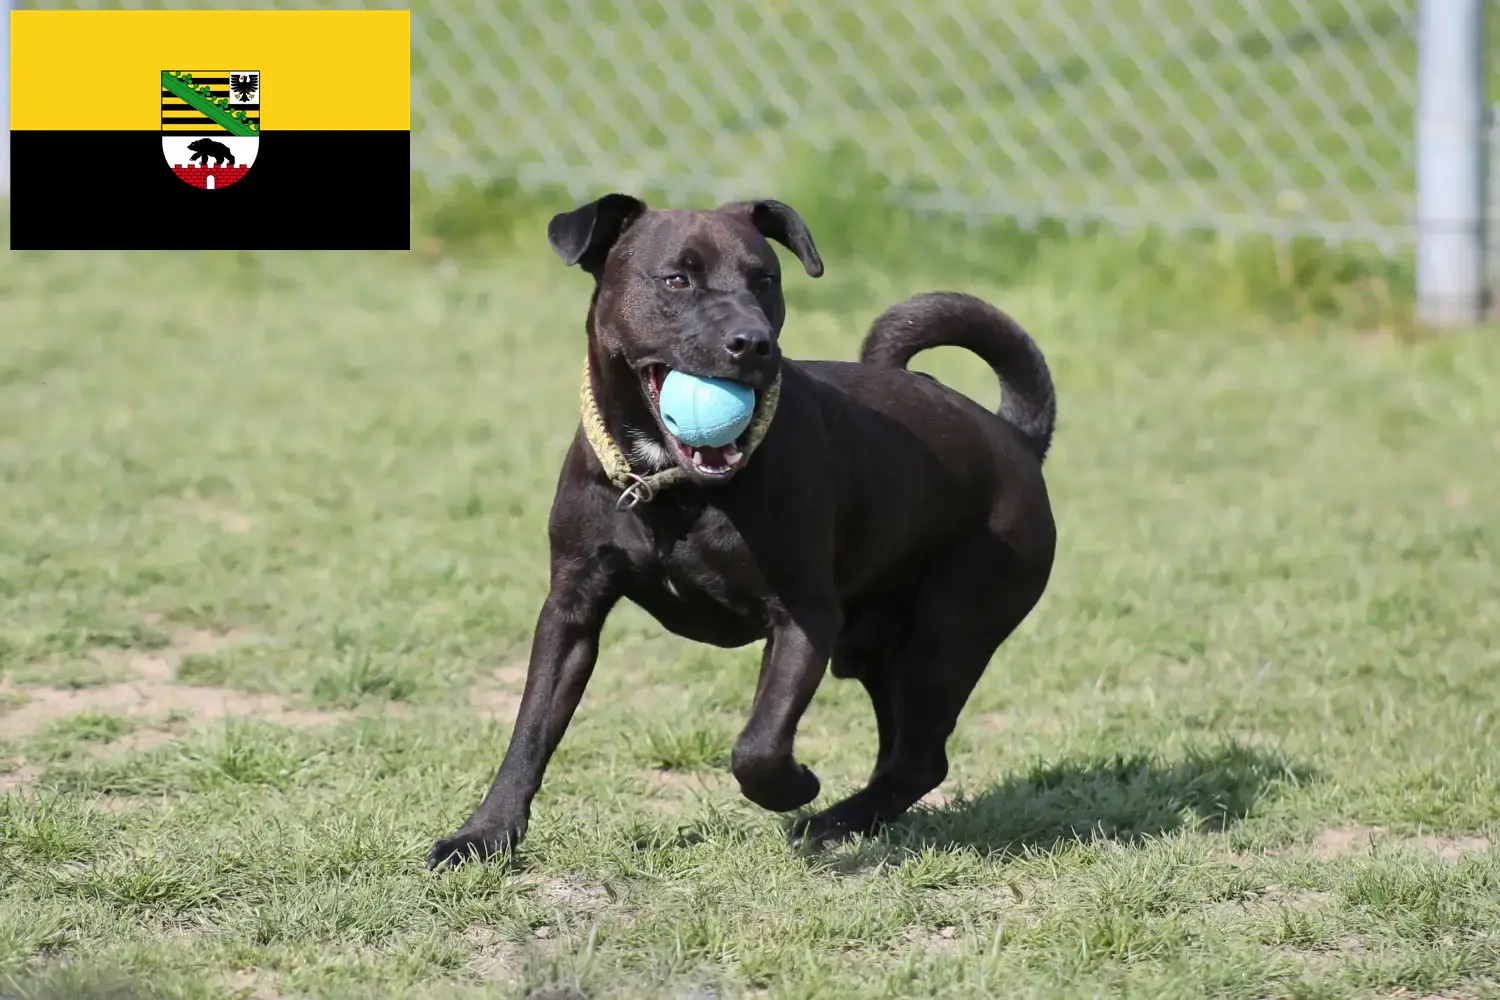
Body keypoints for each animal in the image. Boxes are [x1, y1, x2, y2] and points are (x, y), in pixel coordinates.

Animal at [429, 194, 1062, 869]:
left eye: (766, 280)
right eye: (676, 279)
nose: (753, 343)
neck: (672, 488)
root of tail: (1017, 437)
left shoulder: (804, 618)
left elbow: (758, 743)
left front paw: (795, 786)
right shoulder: (571, 609)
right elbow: (531, 728)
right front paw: (483, 835)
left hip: (943, 639)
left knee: (919, 759)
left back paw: (830, 821)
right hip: (875, 649)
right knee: (905, 756)